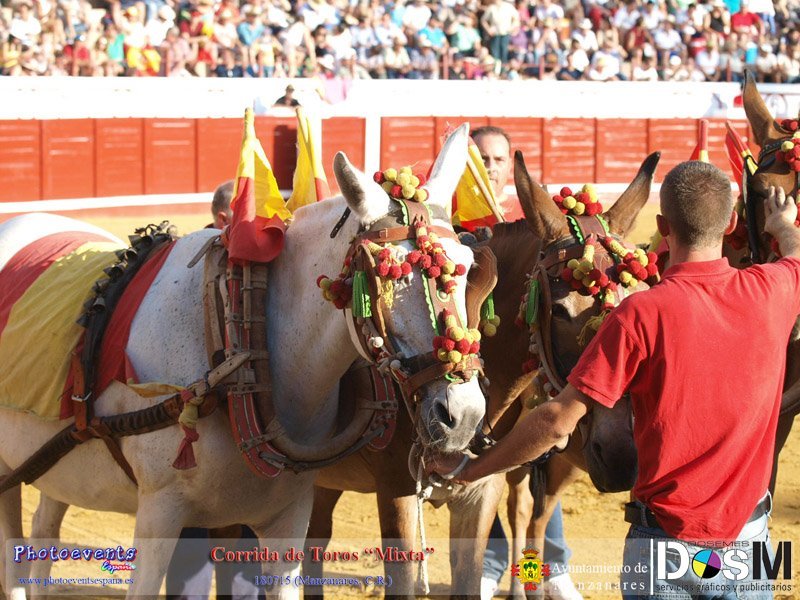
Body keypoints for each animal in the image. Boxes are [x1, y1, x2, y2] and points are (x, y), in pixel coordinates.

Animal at [0, 124, 488, 599]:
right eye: (387, 273)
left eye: (467, 265)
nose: (463, 416)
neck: (242, 359)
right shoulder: (159, 512)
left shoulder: (287, 519)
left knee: (42, 534)